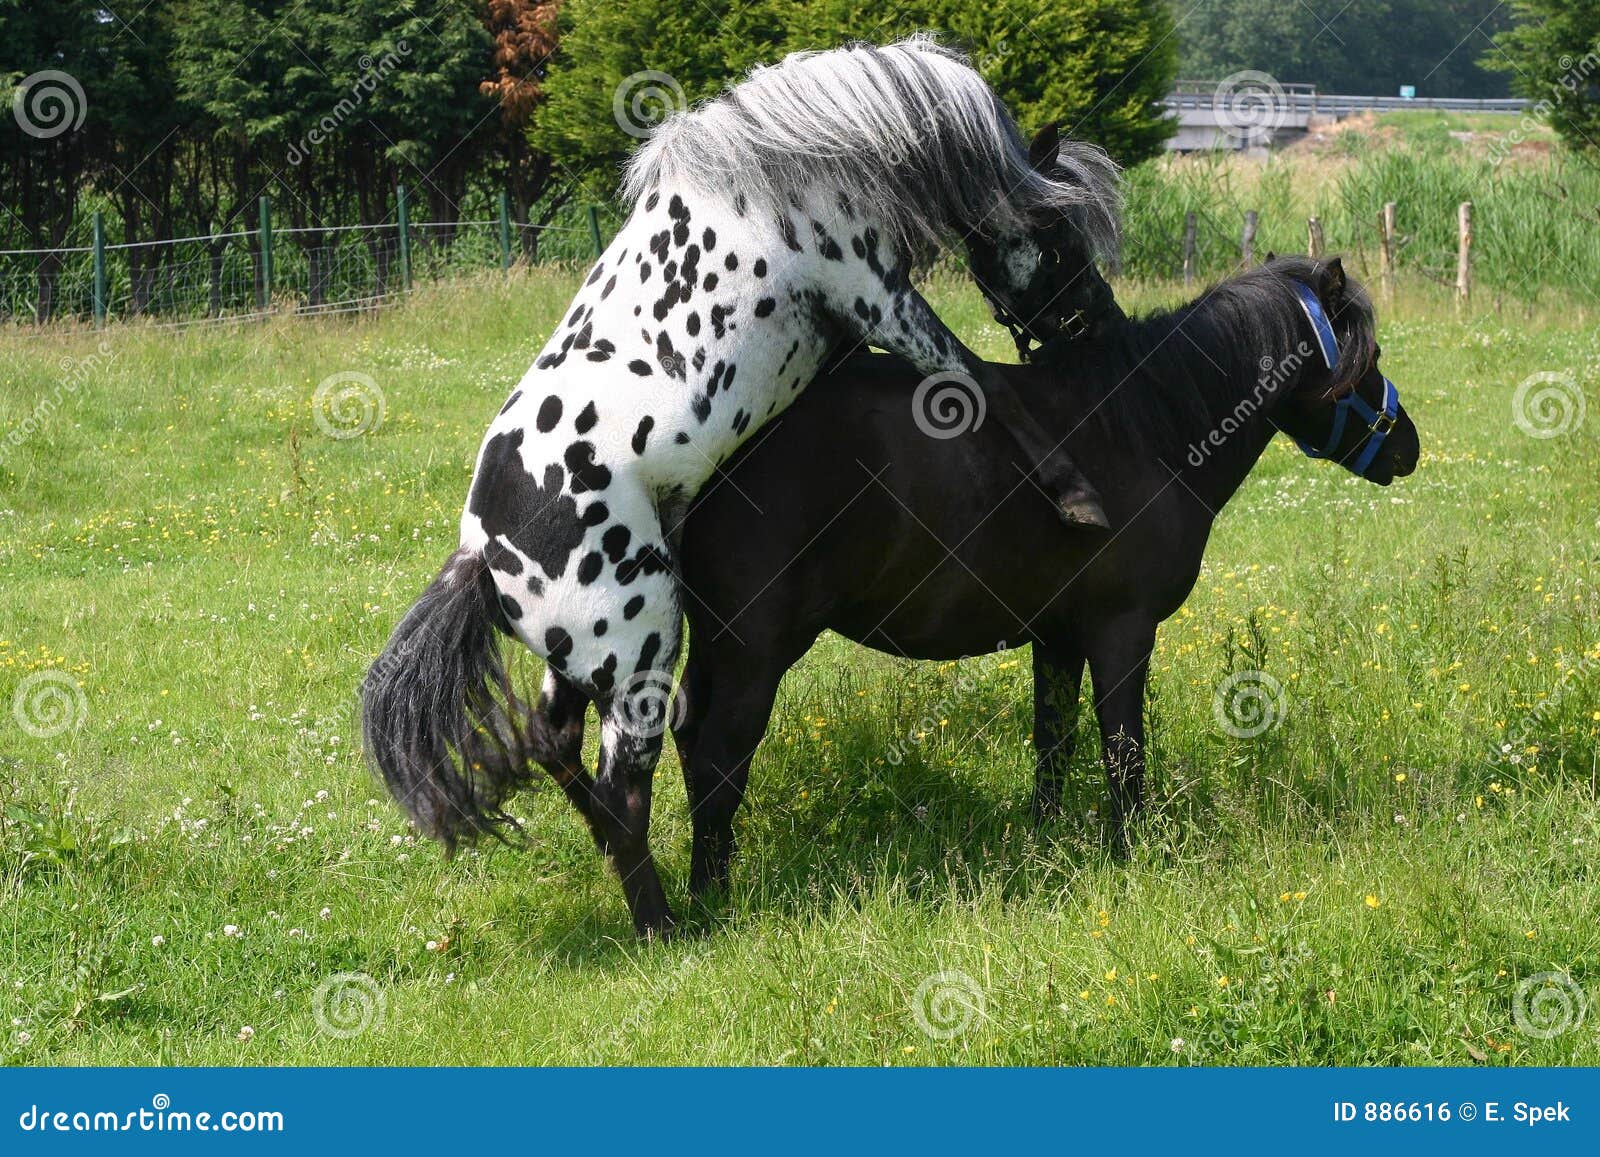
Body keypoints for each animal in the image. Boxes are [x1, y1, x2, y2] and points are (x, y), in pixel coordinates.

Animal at [360, 36, 1113, 940]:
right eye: (1059, 232)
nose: (1099, 323)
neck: (797, 160)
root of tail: (481, 556)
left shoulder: (851, 329)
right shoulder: (877, 298)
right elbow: (975, 380)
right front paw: (1077, 494)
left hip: (574, 666)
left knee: (557, 748)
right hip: (642, 655)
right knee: (624, 789)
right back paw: (664, 928)